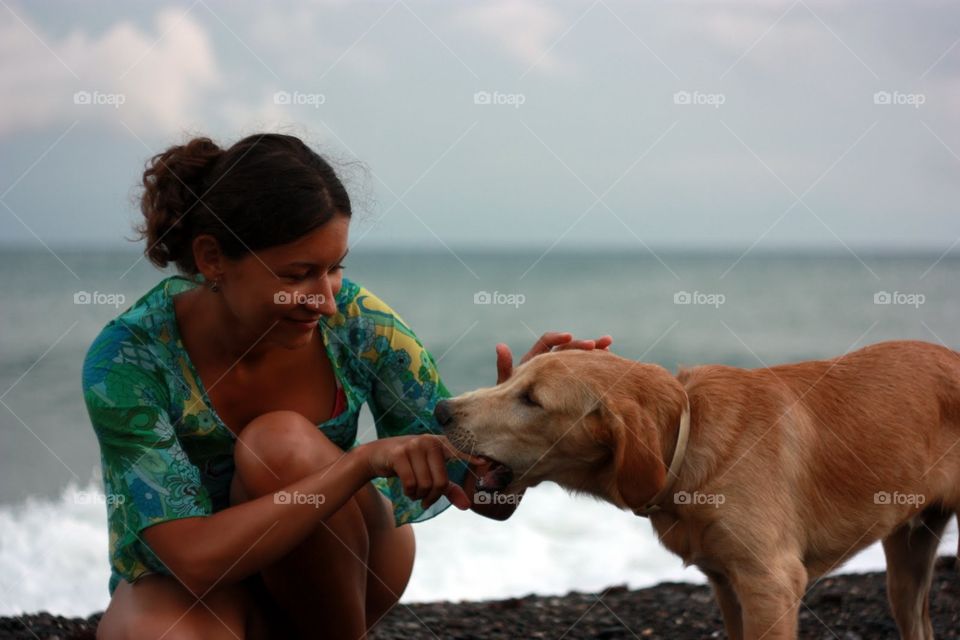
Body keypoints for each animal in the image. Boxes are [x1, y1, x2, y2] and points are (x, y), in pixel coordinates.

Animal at [436, 342, 960, 640]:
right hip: (907, 563)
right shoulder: (728, 586)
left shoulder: (771, 584)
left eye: (531, 399)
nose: (441, 411)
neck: (687, 443)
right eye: (512, 379)